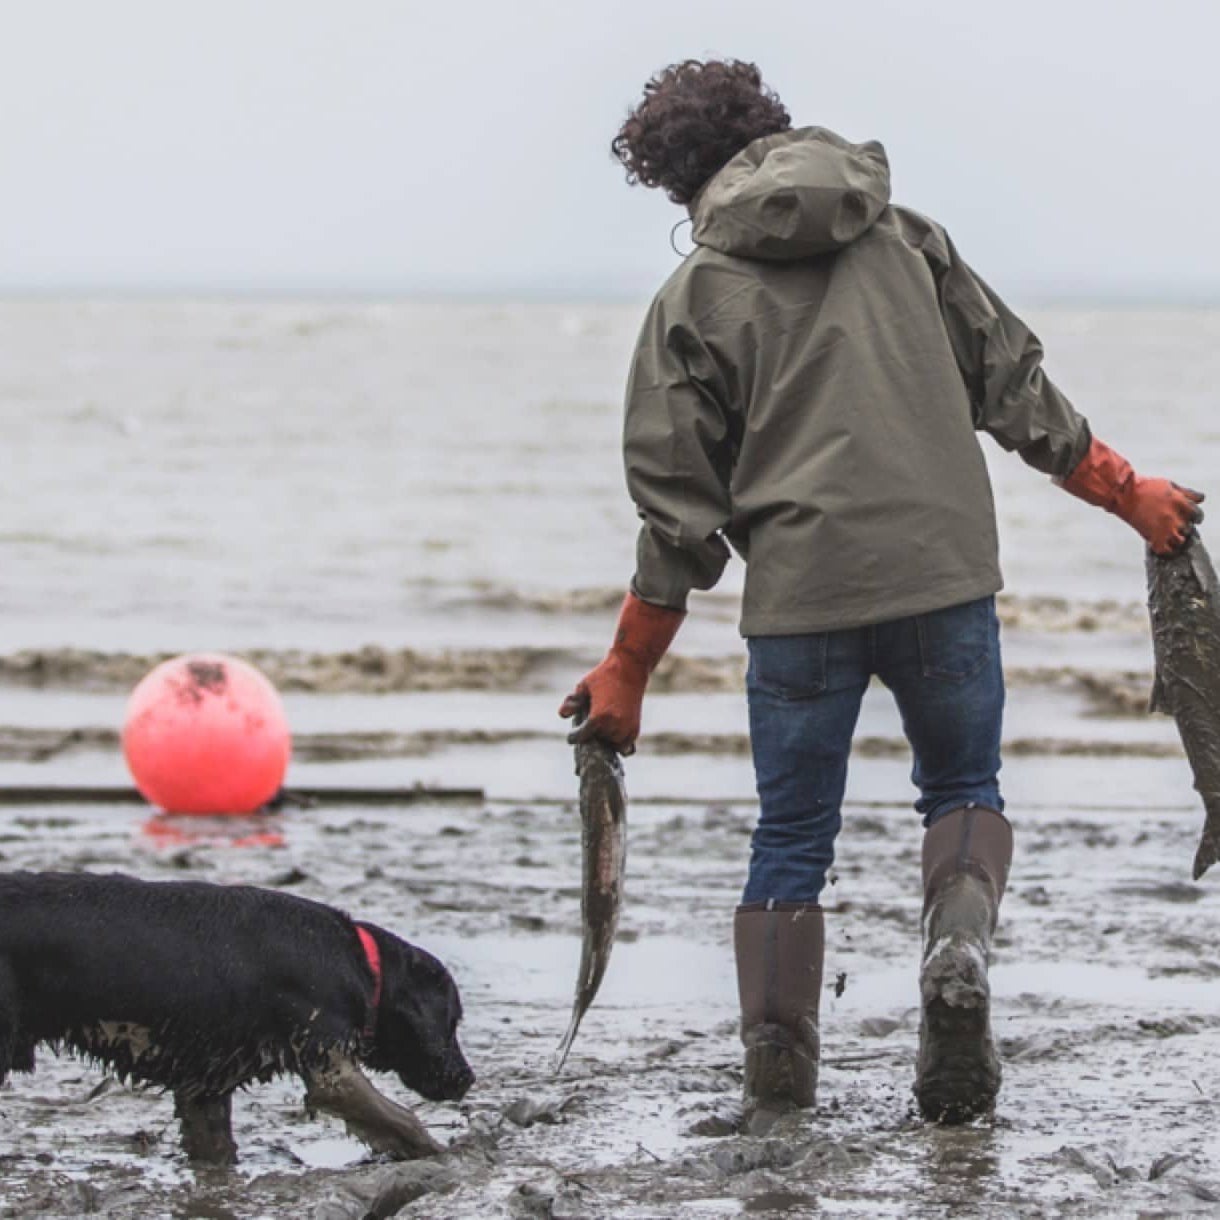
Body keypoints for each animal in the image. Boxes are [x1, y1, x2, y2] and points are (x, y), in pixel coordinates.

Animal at [0, 868, 473, 1161]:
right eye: (451, 1023)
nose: (467, 1078)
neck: (361, 965)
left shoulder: (204, 1091)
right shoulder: (330, 1069)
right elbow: (402, 1121)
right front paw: (448, 1157)